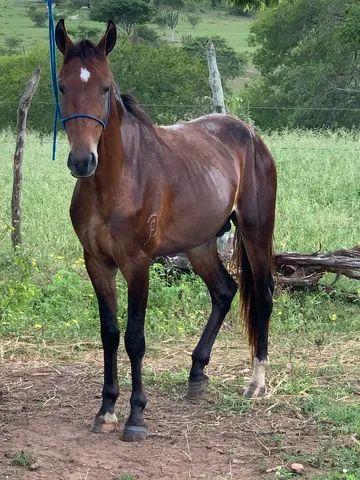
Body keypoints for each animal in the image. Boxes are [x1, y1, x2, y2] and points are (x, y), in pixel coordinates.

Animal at [54, 19, 278, 442]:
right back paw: (197, 374)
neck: (118, 180)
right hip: (200, 244)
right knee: (224, 291)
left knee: (263, 295)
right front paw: (106, 409)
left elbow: (135, 339)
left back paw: (256, 382)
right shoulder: (97, 263)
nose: (82, 161)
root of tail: (250, 134)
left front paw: (136, 416)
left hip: (257, 231)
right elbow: (109, 333)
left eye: (105, 87)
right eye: (62, 86)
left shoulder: (137, 263)